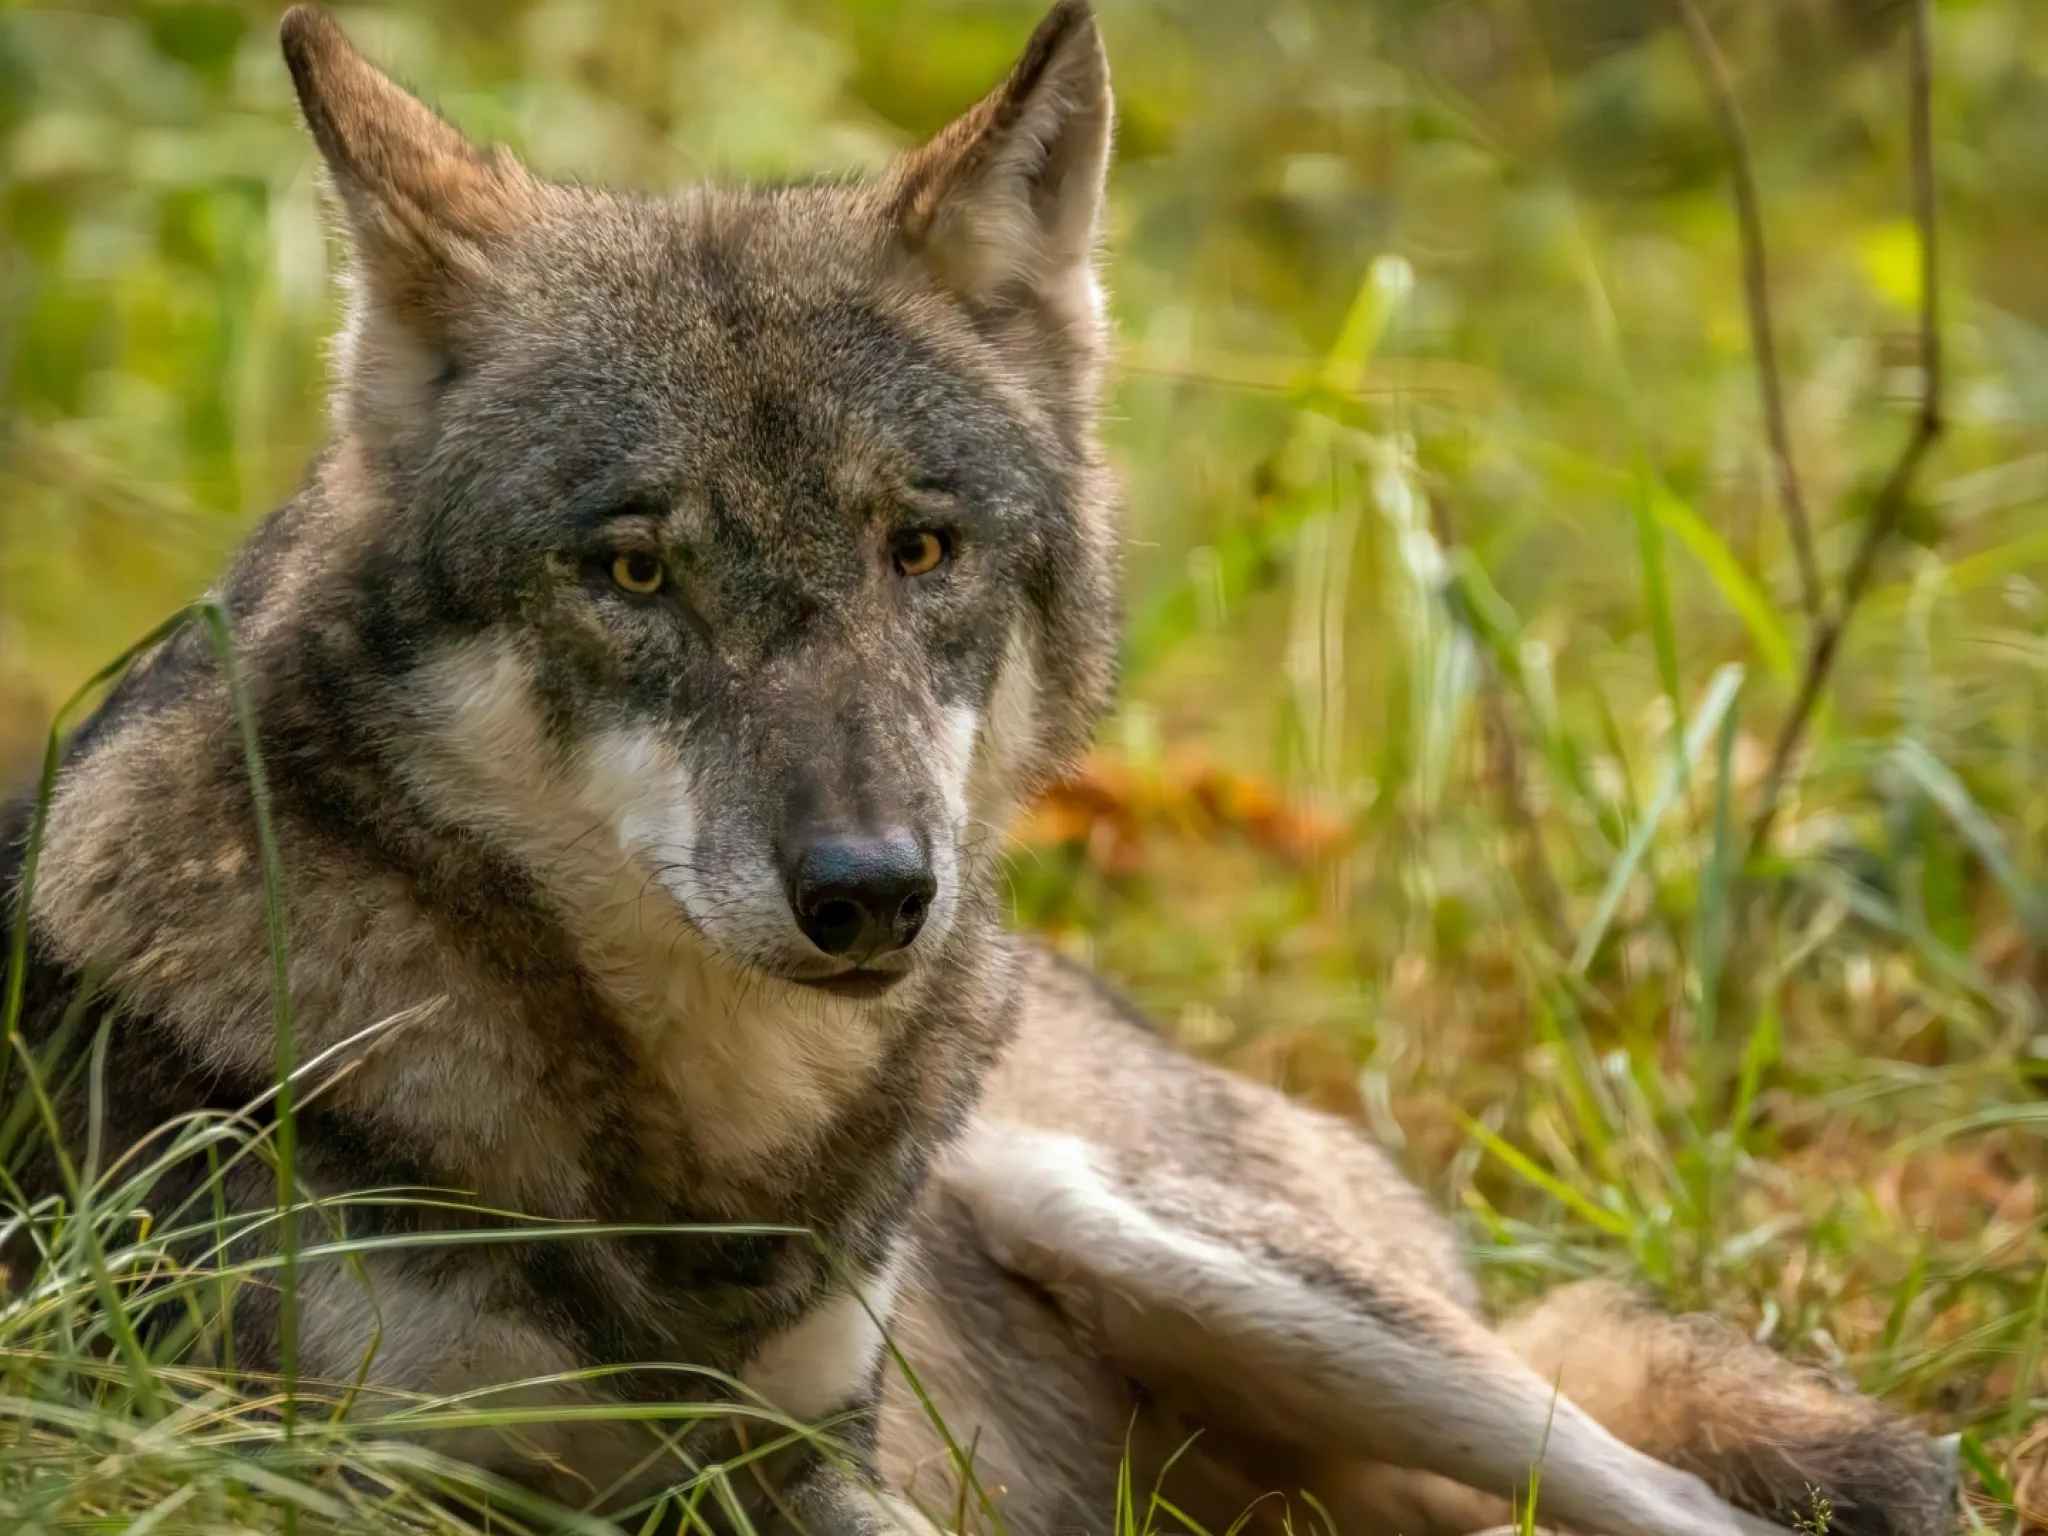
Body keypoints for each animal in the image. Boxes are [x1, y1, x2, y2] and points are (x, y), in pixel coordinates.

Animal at [0, 5, 1956, 1535]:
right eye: (633, 572)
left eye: (920, 550)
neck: (710, 1167)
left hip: (1166, 1238)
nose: (873, 895)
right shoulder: (330, 1471)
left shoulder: (815, 1452)